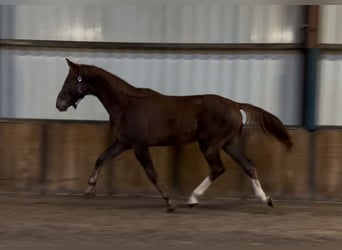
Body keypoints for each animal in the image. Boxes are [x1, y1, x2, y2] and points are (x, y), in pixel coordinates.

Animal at [55, 58, 292, 211]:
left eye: (69, 81)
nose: (59, 104)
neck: (126, 104)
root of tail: (234, 104)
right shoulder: (123, 143)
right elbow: (101, 158)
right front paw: (89, 189)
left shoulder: (139, 145)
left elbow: (151, 173)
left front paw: (169, 202)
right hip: (229, 143)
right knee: (247, 164)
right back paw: (265, 199)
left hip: (210, 144)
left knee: (219, 168)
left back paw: (192, 199)